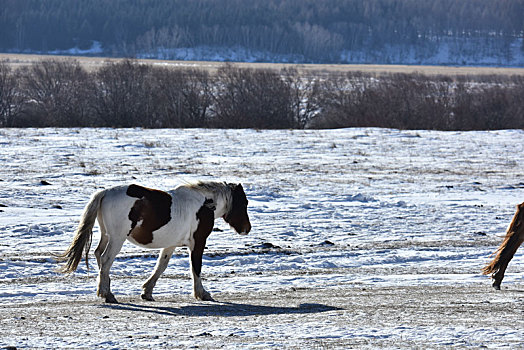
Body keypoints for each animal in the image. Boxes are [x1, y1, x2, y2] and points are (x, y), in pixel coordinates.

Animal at [58, 182, 251, 302]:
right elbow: (196, 268)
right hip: (117, 238)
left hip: (107, 235)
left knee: (99, 255)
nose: (247, 229)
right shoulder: (198, 243)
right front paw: (202, 293)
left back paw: (108, 291)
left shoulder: (170, 245)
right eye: (244, 204)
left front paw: (147, 292)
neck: (204, 204)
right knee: (105, 259)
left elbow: (161, 266)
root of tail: (104, 193)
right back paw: (106, 294)